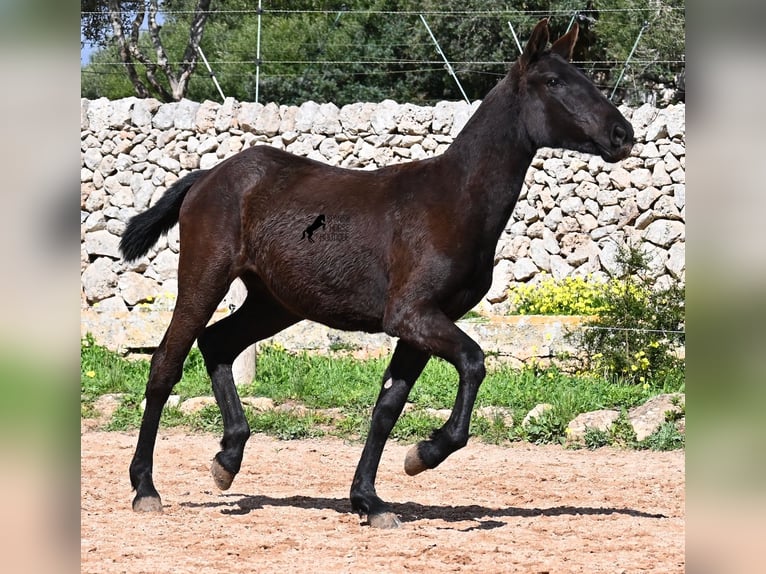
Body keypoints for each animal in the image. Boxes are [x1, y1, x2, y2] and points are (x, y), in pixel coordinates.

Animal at [120, 20, 636, 528]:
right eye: (553, 82)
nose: (622, 134)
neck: (454, 201)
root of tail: (206, 178)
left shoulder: (423, 325)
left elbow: (388, 405)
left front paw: (370, 499)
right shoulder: (410, 315)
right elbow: (474, 361)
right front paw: (424, 453)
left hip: (274, 303)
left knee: (218, 344)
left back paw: (227, 459)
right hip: (205, 279)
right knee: (165, 364)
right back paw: (146, 488)